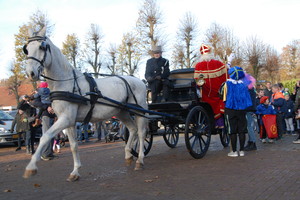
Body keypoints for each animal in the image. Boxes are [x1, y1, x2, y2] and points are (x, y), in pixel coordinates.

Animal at [22, 27, 148, 182]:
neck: (66, 82)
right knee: (133, 130)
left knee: (141, 133)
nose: (31, 73)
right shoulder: (69, 122)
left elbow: (45, 137)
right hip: (122, 112)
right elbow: (73, 146)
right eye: (26, 49)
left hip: (139, 112)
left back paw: (140, 160)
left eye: (42, 47)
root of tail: (140, 81)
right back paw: (128, 155)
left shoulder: (65, 119)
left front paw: (31, 167)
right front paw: (75, 172)